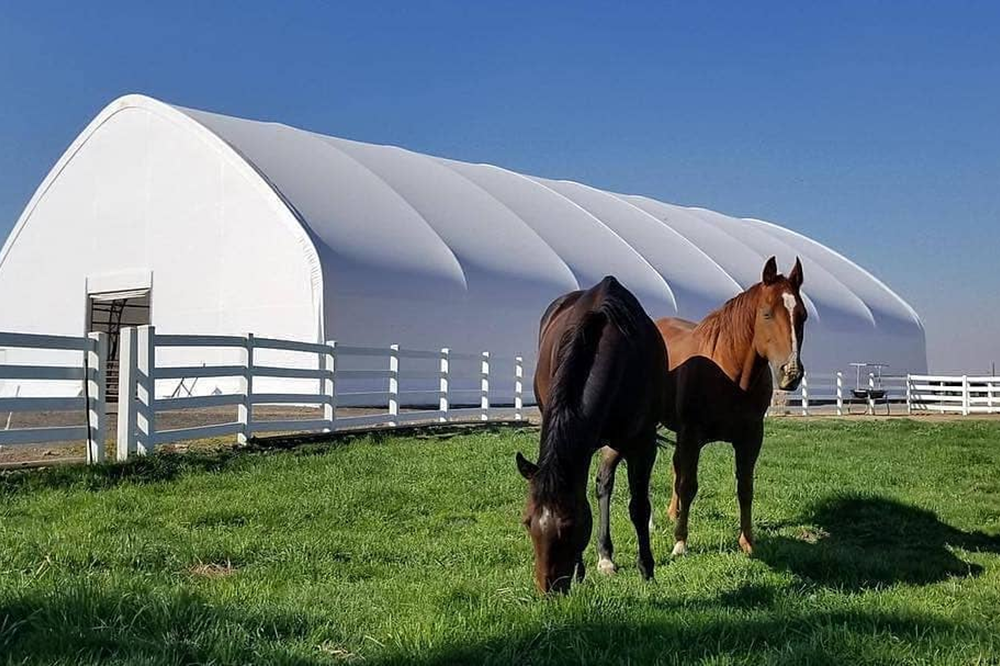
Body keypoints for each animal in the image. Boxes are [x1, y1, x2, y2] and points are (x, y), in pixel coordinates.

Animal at [512, 274, 668, 592]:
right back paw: (603, 558)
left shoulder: (642, 443)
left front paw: (647, 570)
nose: (549, 588)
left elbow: (639, 507)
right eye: (527, 521)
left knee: (604, 482)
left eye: (570, 525)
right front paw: (579, 571)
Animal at [592, 256, 804, 568]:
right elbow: (689, 485)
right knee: (611, 473)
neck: (729, 373)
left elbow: (745, 488)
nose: (791, 373)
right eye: (767, 314)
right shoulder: (693, 436)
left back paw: (668, 514)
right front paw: (680, 543)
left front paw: (748, 542)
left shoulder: (750, 439)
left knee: (671, 468)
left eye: (802, 316)